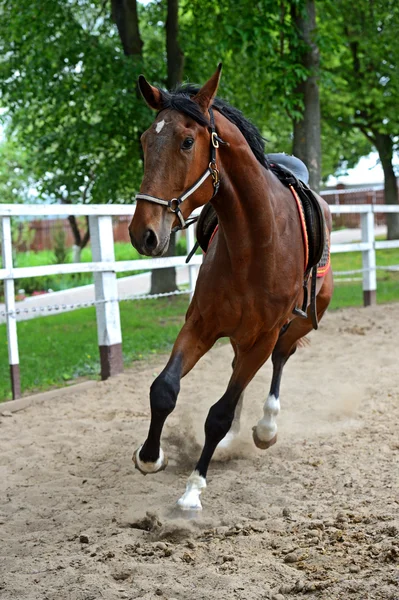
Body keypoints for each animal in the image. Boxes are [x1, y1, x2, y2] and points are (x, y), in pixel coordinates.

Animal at [129, 64, 334, 510]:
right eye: (145, 140)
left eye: (188, 141)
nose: (143, 234)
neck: (254, 243)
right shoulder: (201, 324)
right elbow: (164, 388)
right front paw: (150, 455)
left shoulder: (264, 335)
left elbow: (218, 414)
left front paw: (192, 491)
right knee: (238, 370)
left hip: (296, 324)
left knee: (280, 360)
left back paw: (265, 428)